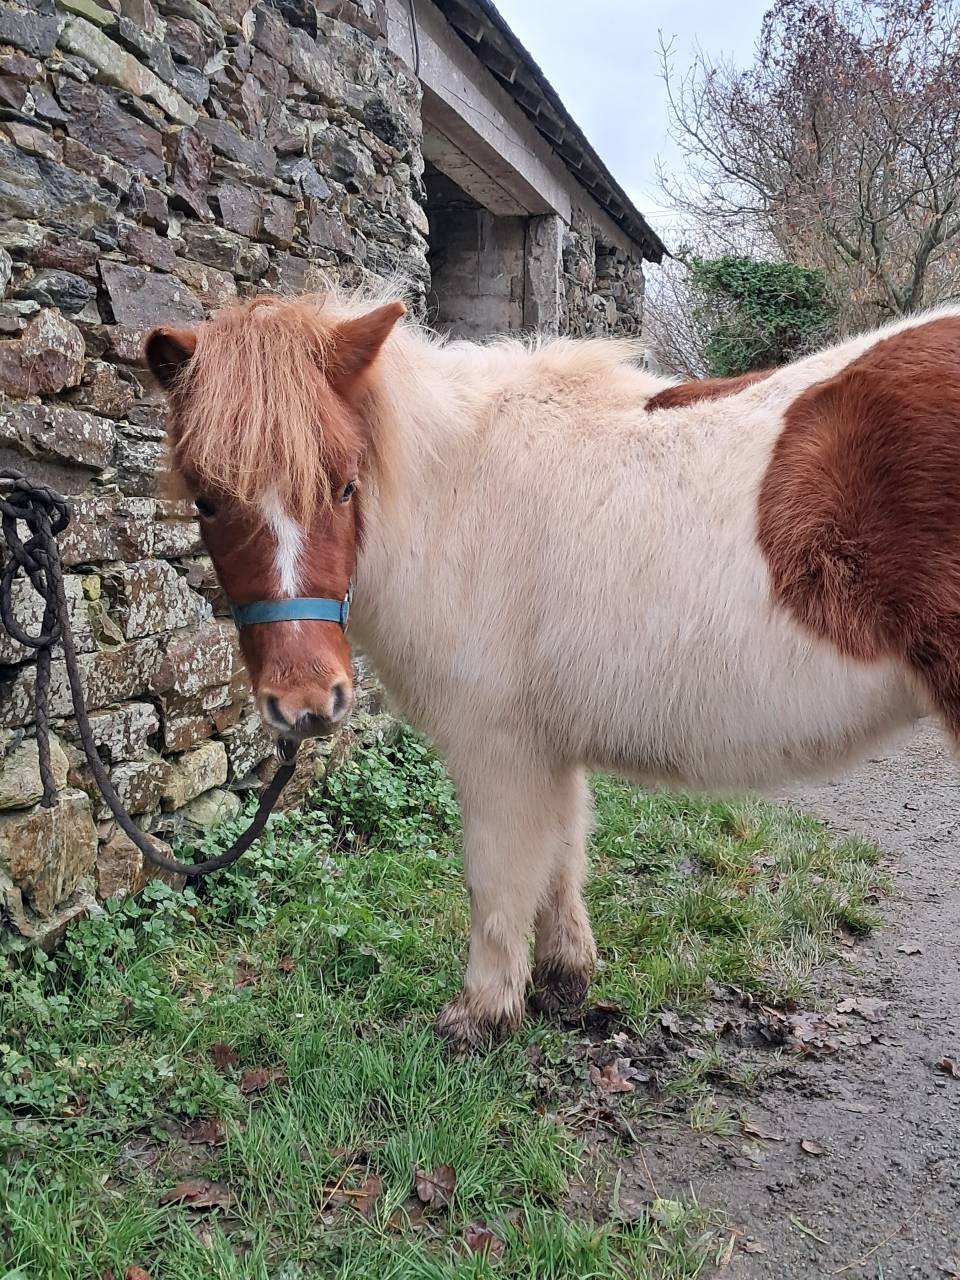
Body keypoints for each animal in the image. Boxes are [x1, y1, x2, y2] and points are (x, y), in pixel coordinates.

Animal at [145, 292, 960, 1050]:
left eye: (345, 485)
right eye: (208, 500)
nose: (307, 701)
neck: (461, 494)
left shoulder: (498, 748)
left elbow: (497, 877)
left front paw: (480, 1015)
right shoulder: (549, 744)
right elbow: (562, 858)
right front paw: (563, 983)